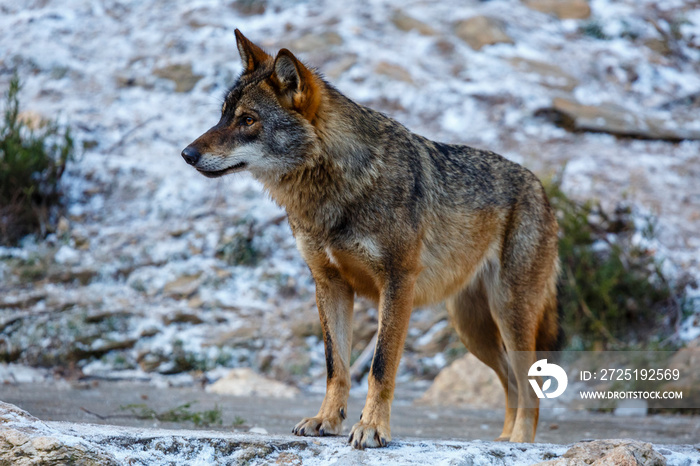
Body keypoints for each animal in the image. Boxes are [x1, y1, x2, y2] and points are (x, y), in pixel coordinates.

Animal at [182, 29, 564, 448]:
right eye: (222, 115)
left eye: (248, 120)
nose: (186, 153)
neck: (336, 189)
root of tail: (540, 188)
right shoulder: (329, 284)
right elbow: (336, 366)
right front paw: (326, 420)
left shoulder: (397, 284)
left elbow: (380, 367)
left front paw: (372, 428)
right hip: (473, 330)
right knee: (511, 382)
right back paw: (504, 440)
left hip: (509, 316)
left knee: (530, 386)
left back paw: (520, 443)